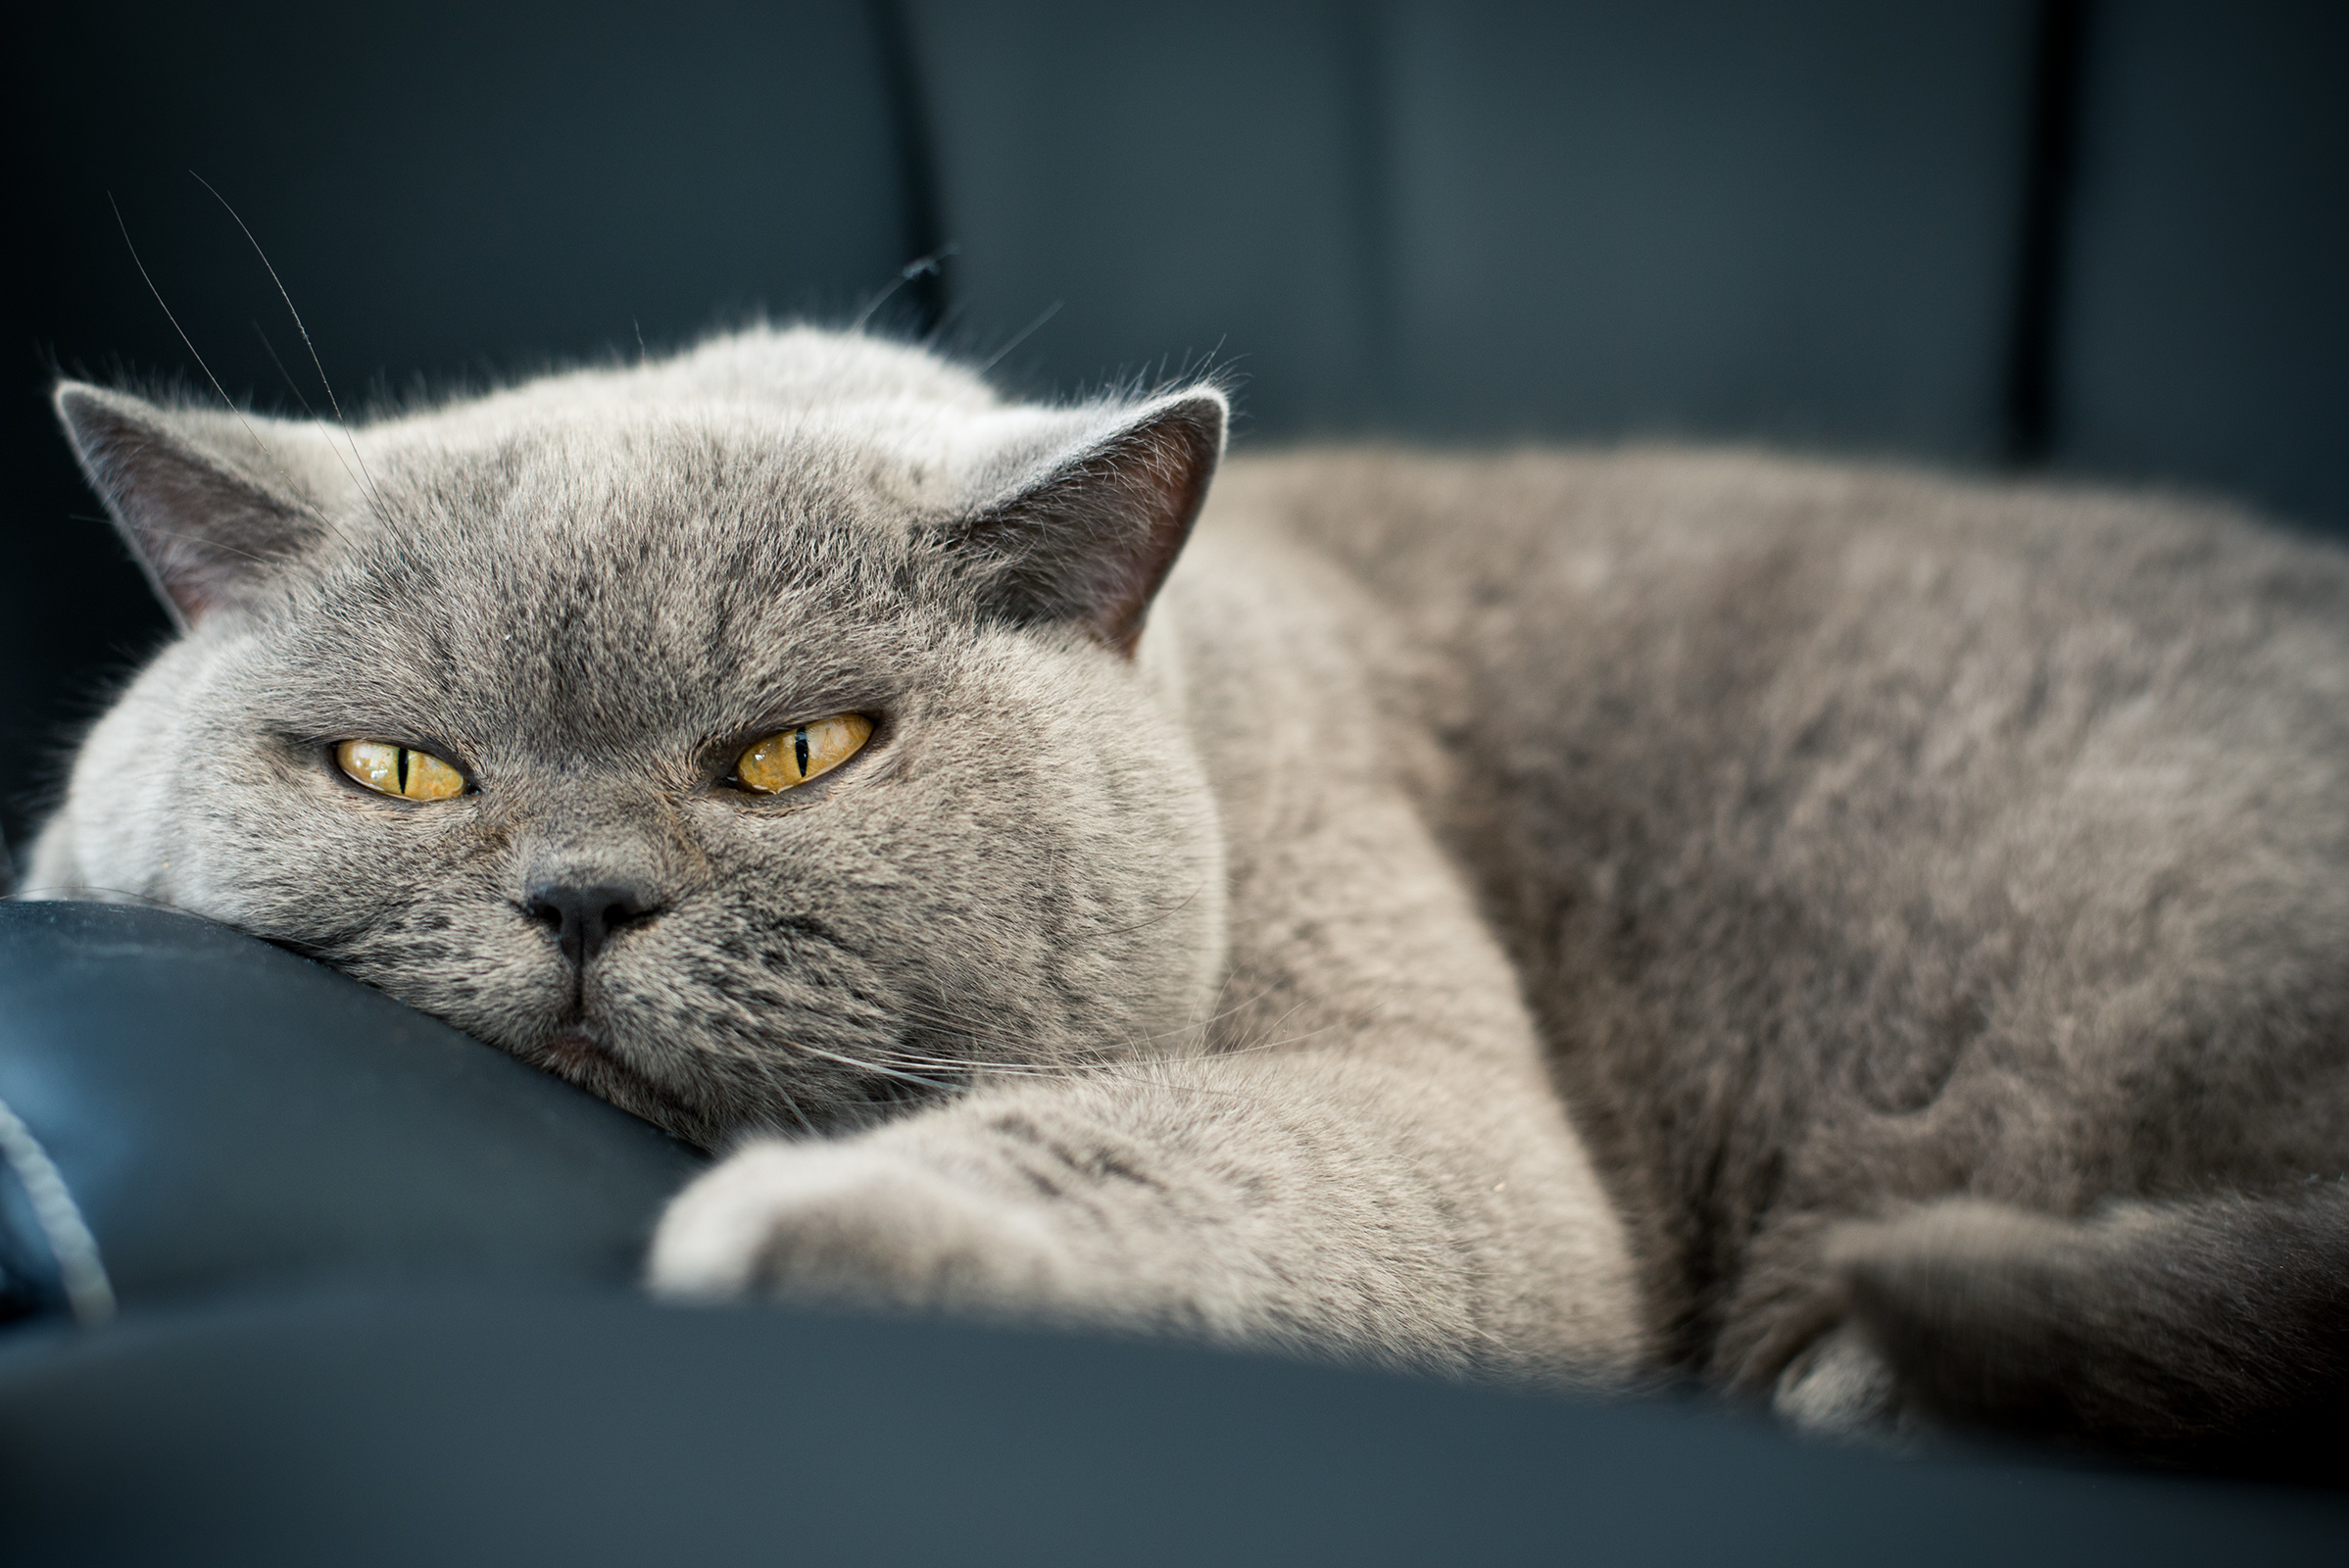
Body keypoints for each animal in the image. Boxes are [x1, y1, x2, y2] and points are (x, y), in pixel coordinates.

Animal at [23, 323, 2349, 1474]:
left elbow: (1162, 1145)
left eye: (797, 754)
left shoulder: (1441, 1093)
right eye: (403, 769)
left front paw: (805, 1229)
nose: (581, 897)